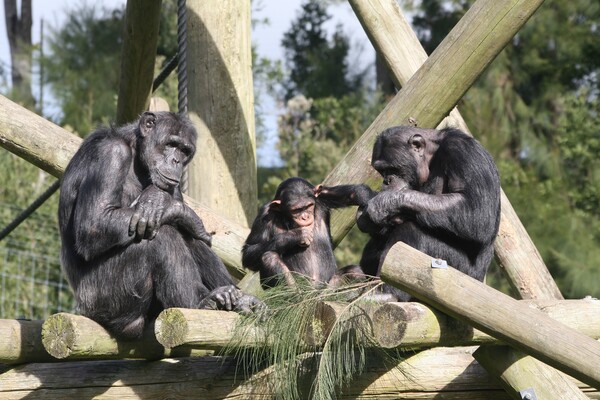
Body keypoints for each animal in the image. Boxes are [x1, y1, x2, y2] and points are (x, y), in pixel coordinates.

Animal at [59, 111, 262, 340]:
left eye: (184, 150)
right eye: (171, 144)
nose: (176, 160)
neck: (136, 154)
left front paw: (162, 202)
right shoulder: (110, 154)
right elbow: (94, 224)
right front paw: (168, 205)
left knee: (186, 235)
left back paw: (239, 299)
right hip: (103, 298)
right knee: (162, 235)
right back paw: (201, 302)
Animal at [318, 125, 502, 300]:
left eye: (393, 169)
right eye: (382, 171)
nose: (387, 180)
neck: (432, 157)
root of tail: (480, 281)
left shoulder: (463, 152)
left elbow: (477, 210)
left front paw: (382, 203)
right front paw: (364, 205)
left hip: (457, 273)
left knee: (411, 230)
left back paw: (388, 292)